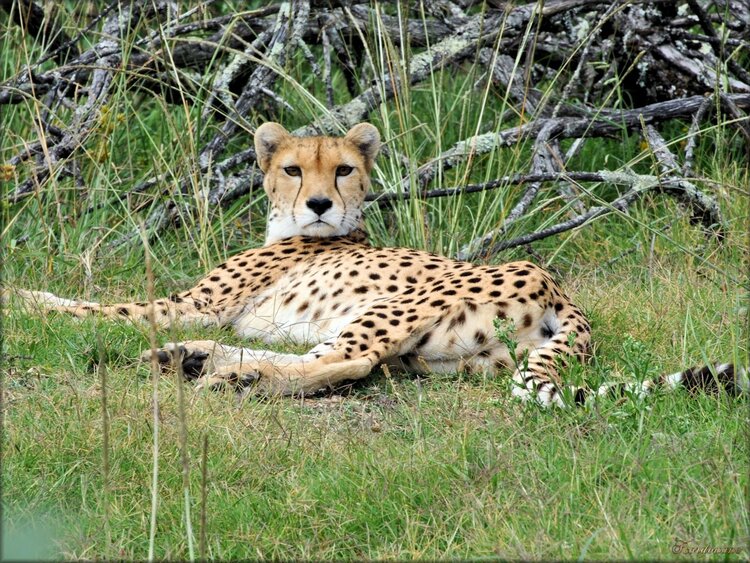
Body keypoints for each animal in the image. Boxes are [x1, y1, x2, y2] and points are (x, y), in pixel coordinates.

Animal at [8, 122, 748, 406]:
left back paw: (218, 370)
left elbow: (101, 305)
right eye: (292, 168)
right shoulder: (202, 306)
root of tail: (556, 286)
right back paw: (197, 360)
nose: (317, 202)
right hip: (438, 358)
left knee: (347, 361)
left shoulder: (192, 302)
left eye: (342, 168)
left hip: (394, 307)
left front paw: (18, 299)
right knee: (344, 365)